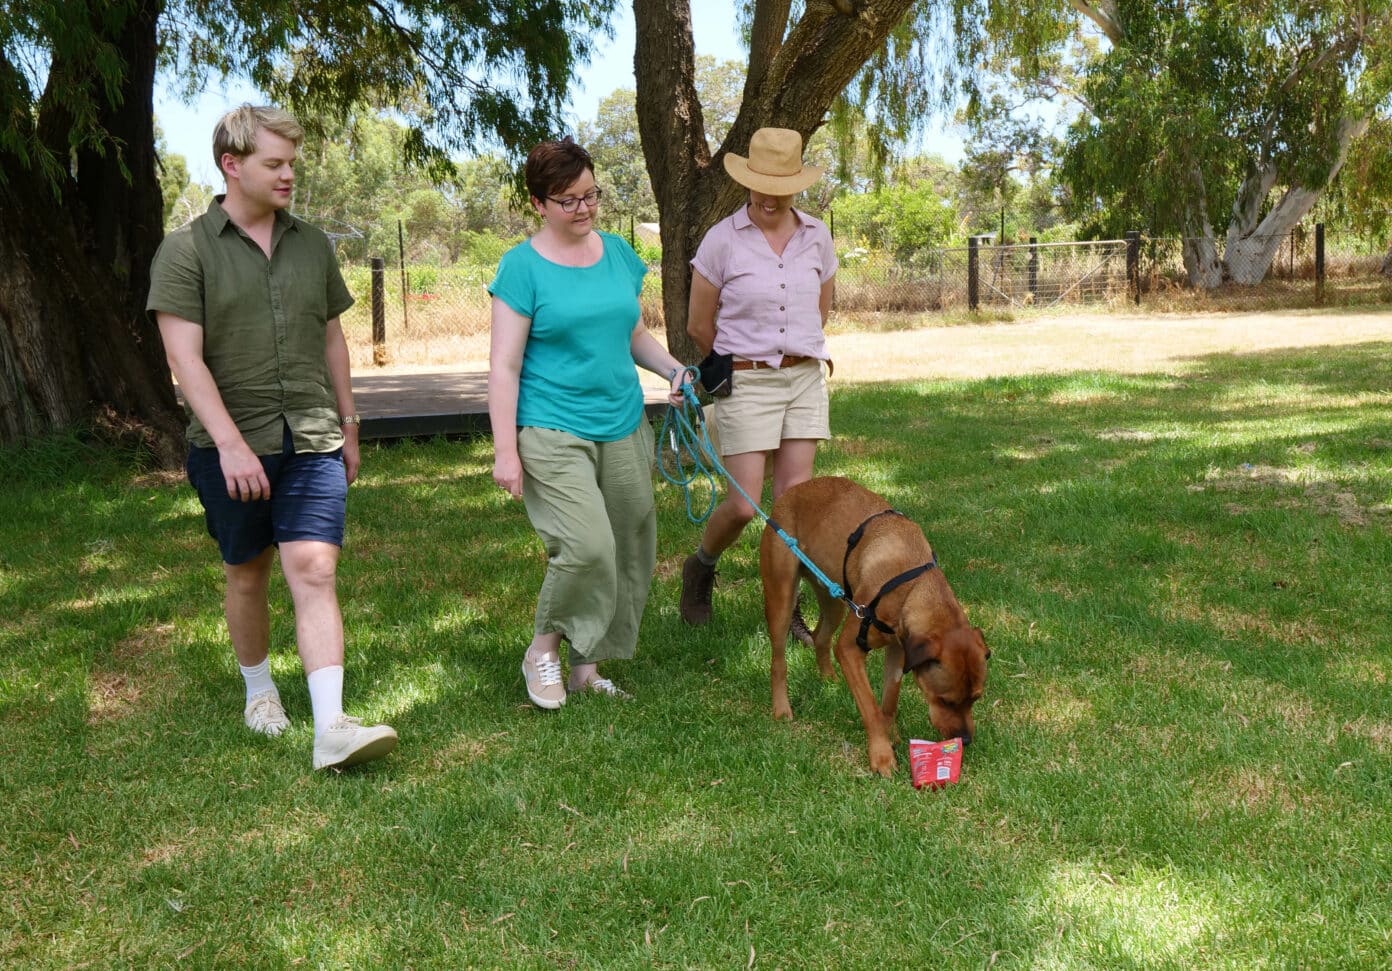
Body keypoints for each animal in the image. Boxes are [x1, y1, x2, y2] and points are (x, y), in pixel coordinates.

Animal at [762, 472, 991, 773]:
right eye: (945, 700)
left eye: (976, 698)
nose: (965, 740)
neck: (912, 584)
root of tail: (791, 492)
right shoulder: (850, 648)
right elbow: (870, 706)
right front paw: (882, 755)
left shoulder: (899, 650)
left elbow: (889, 699)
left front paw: (891, 733)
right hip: (781, 596)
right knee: (778, 661)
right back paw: (781, 707)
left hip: (834, 599)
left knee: (821, 637)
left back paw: (829, 679)